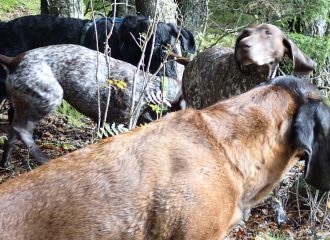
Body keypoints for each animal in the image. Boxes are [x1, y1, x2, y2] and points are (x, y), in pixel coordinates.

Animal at [0, 43, 180, 167]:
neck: (152, 87)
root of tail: (14, 61)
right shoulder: (122, 123)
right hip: (50, 97)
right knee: (22, 131)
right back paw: (42, 158)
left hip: (22, 104)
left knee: (12, 132)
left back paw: (5, 162)